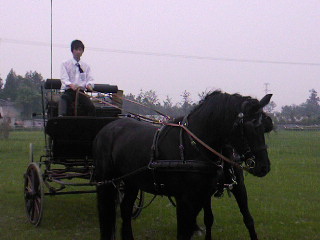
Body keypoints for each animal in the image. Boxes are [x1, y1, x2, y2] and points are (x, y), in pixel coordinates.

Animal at [92, 91, 272, 239]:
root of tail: (108, 127)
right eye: (248, 126)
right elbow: (184, 233)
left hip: (131, 182)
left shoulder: (202, 195)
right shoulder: (184, 199)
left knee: (125, 209)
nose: (264, 167)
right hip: (106, 181)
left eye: (264, 127)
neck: (193, 146)